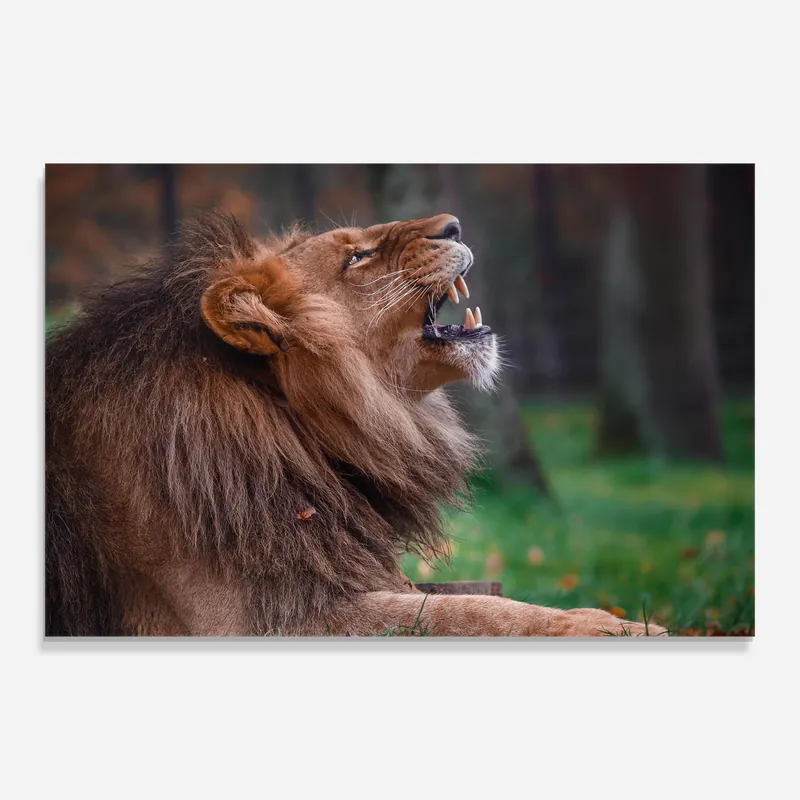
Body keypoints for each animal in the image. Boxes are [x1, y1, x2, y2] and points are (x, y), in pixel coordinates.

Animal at [45, 211, 665, 637]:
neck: (296, 428)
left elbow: (470, 602)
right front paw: (619, 627)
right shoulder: (260, 620)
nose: (454, 224)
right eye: (355, 259)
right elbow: (472, 611)